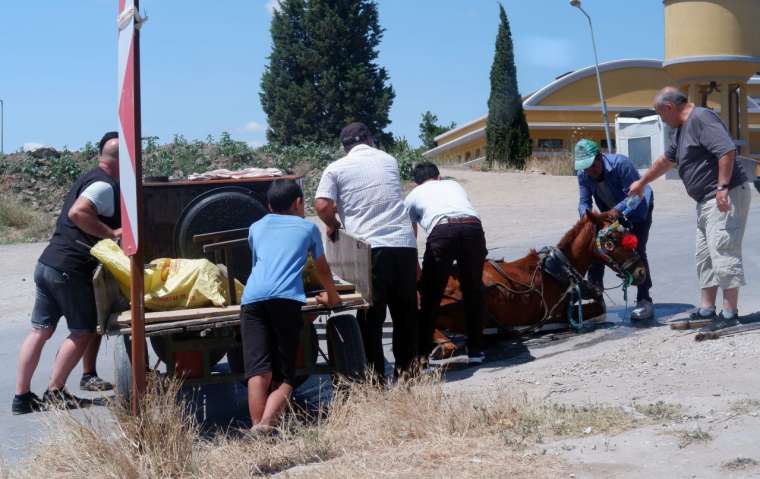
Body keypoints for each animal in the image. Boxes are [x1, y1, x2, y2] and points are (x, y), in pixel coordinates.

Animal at [430, 212, 644, 354]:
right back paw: (445, 344)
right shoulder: (559, 313)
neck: (559, 266)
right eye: (612, 238)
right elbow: (600, 306)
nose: (641, 271)